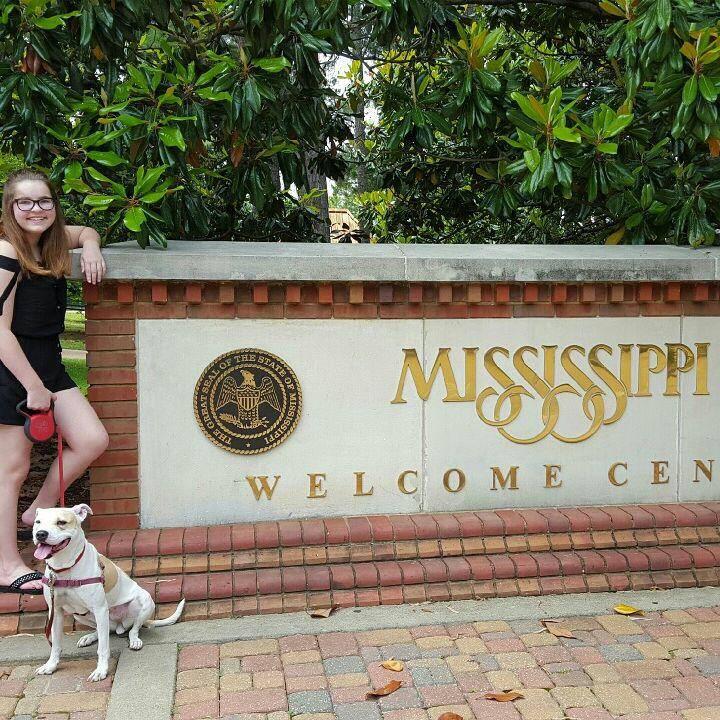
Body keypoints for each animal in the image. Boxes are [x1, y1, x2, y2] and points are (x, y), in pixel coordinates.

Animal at [33, 504, 185, 682]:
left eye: (61, 522)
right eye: (38, 522)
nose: (40, 534)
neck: (64, 567)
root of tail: (119, 625)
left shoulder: (100, 609)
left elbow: (103, 648)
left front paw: (101, 670)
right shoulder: (55, 611)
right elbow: (56, 645)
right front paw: (50, 666)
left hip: (145, 601)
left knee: (133, 629)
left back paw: (134, 640)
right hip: (80, 615)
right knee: (103, 631)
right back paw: (89, 637)